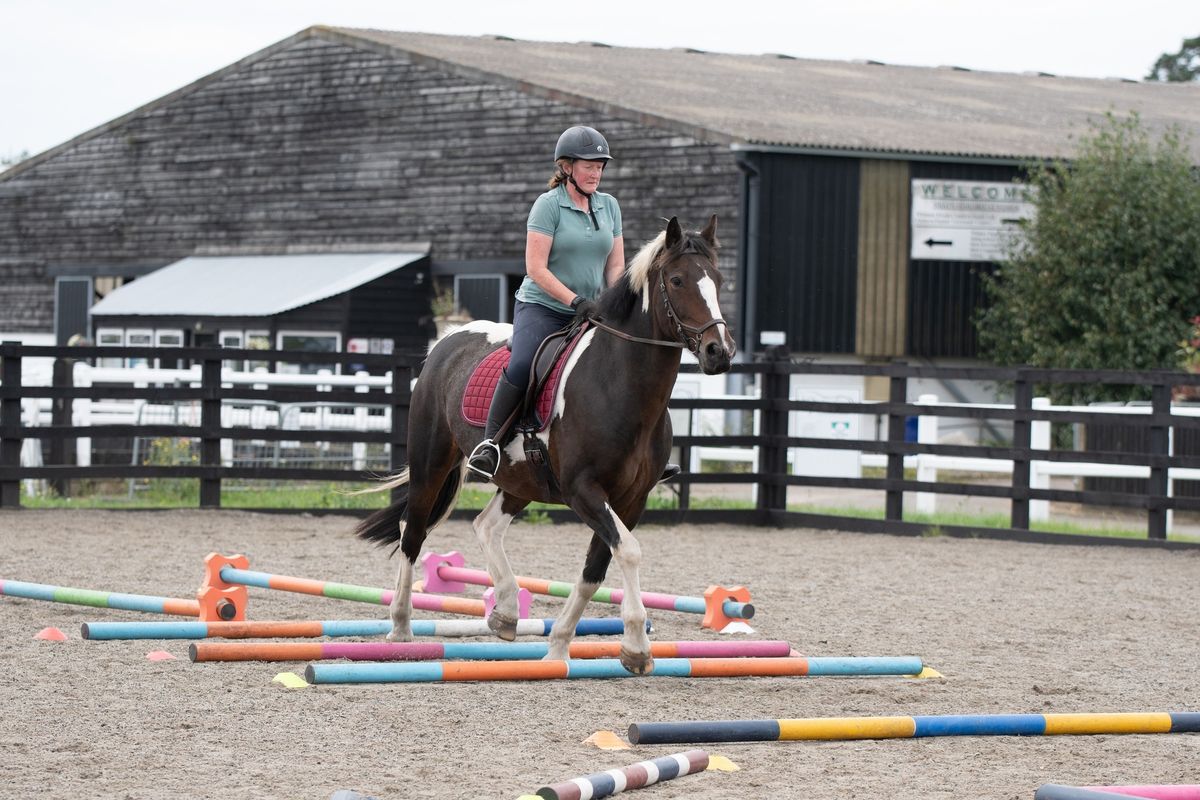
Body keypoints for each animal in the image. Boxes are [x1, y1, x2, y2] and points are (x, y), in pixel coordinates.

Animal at [350, 214, 734, 676]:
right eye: (677, 280)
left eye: (718, 280)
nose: (719, 352)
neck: (619, 385)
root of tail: (448, 340)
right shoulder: (583, 491)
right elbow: (628, 552)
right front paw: (637, 646)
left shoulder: (631, 499)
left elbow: (596, 568)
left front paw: (559, 647)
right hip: (432, 464)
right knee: (414, 530)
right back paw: (402, 627)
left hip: (520, 480)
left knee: (486, 526)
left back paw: (505, 612)